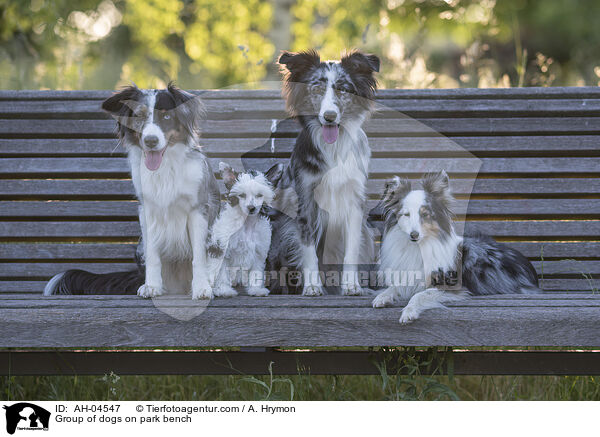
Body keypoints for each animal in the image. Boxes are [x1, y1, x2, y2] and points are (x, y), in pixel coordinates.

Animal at [206, 163, 276, 296]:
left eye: (259, 195)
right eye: (242, 195)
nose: (251, 208)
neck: (246, 223)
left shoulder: (258, 252)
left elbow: (256, 272)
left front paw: (256, 290)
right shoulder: (223, 248)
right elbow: (222, 271)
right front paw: (224, 290)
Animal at [372, 170, 540, 324]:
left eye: (425, 214)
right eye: (406, 214)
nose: (414, 235)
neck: (419, 247)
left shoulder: (449, 285)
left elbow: (419, 295)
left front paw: (409, 311)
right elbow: (394, 287)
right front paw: (382, 297)